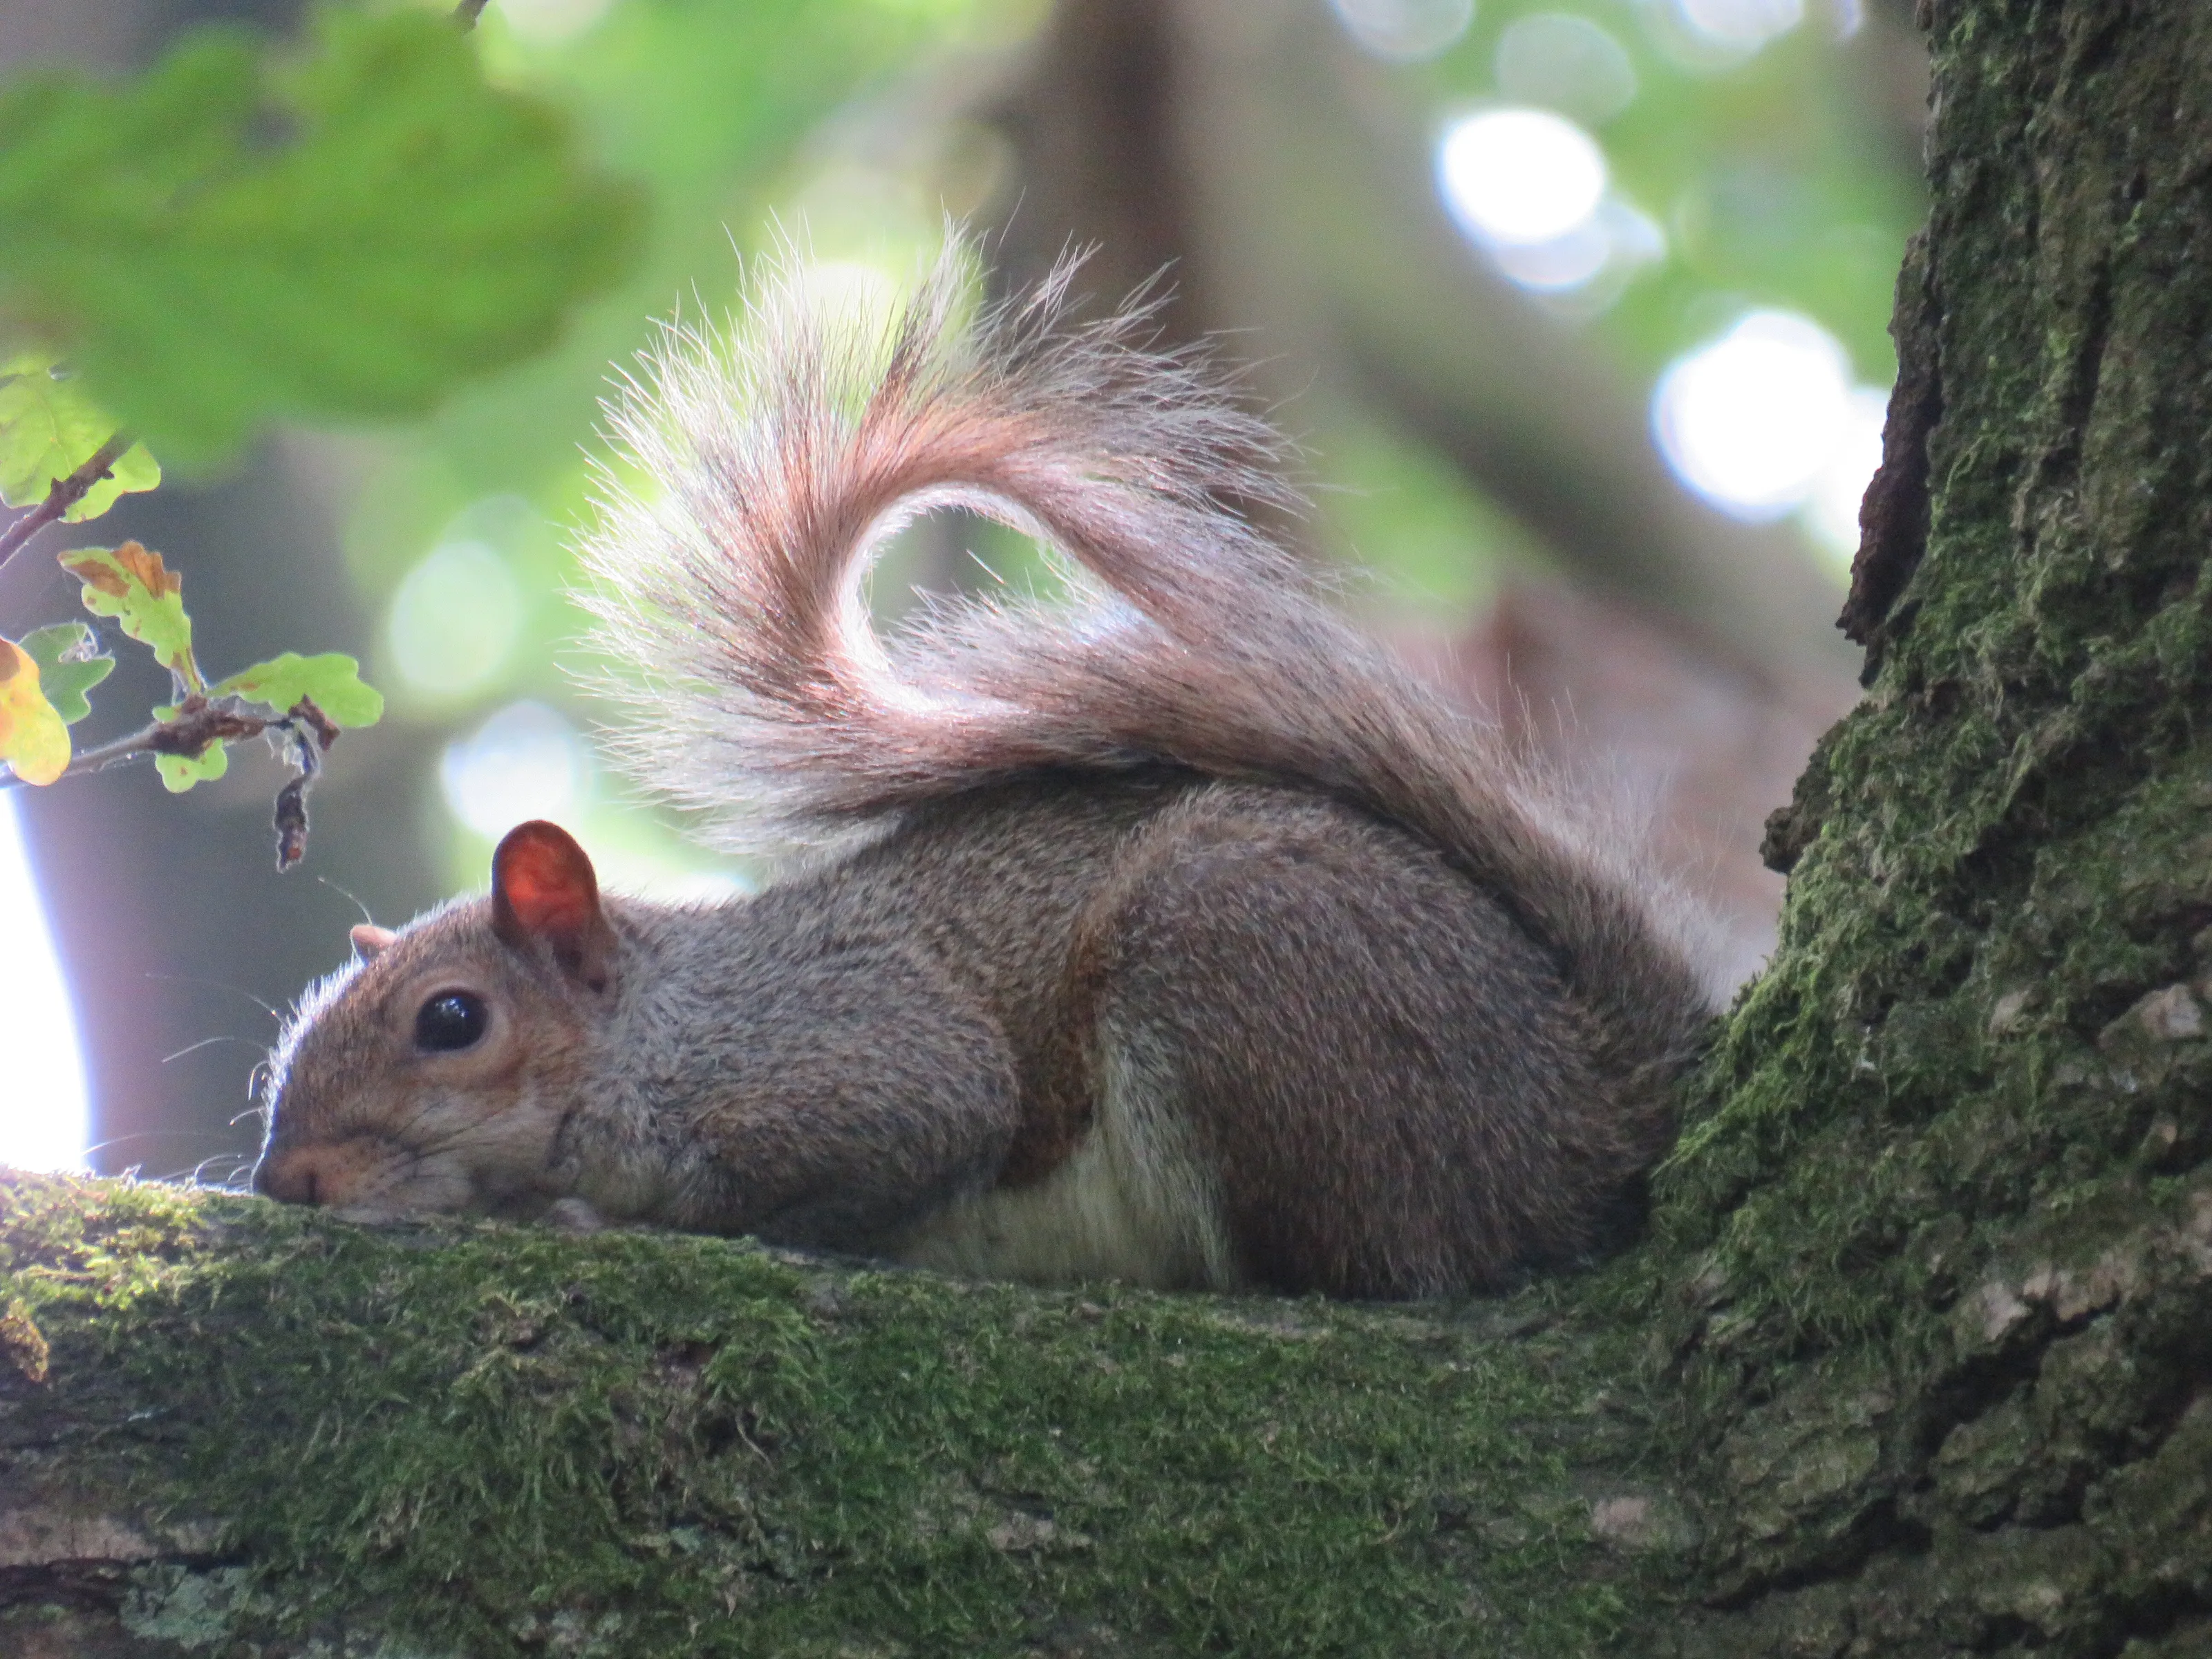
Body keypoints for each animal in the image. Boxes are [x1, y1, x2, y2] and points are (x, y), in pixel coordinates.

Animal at [253, 248, 1723, 1300]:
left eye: (452, 1021)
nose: (290, 1183)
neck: (656, 1029)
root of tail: (1600, 1111)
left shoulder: (849, 1053)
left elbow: (917, 1132)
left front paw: (600, 1222)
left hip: (1250, 962)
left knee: (1408, 1257)